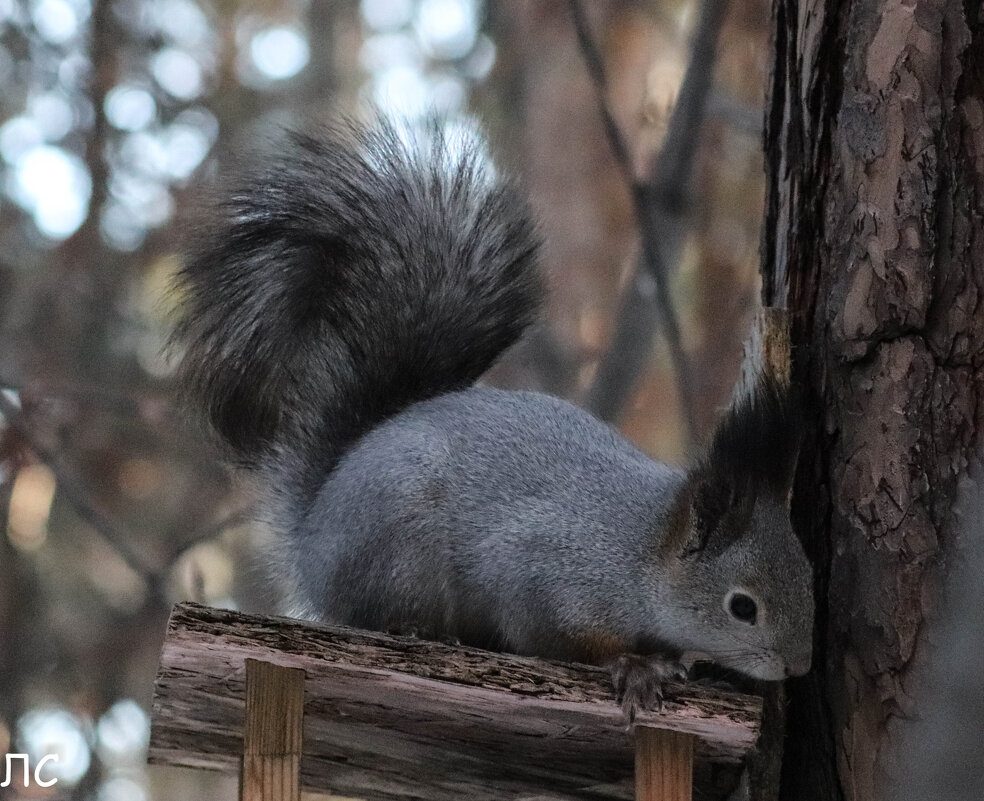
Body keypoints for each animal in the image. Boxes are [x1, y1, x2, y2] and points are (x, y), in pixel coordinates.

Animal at [175, 119, 816, 712]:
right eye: (742, 607)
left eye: (808, 575)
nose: (799, 667)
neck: (638, 549)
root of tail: (312, 535)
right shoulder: (542, 574)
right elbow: (554, 637)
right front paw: (634, 666)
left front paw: (670, 659)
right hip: (399, 548)